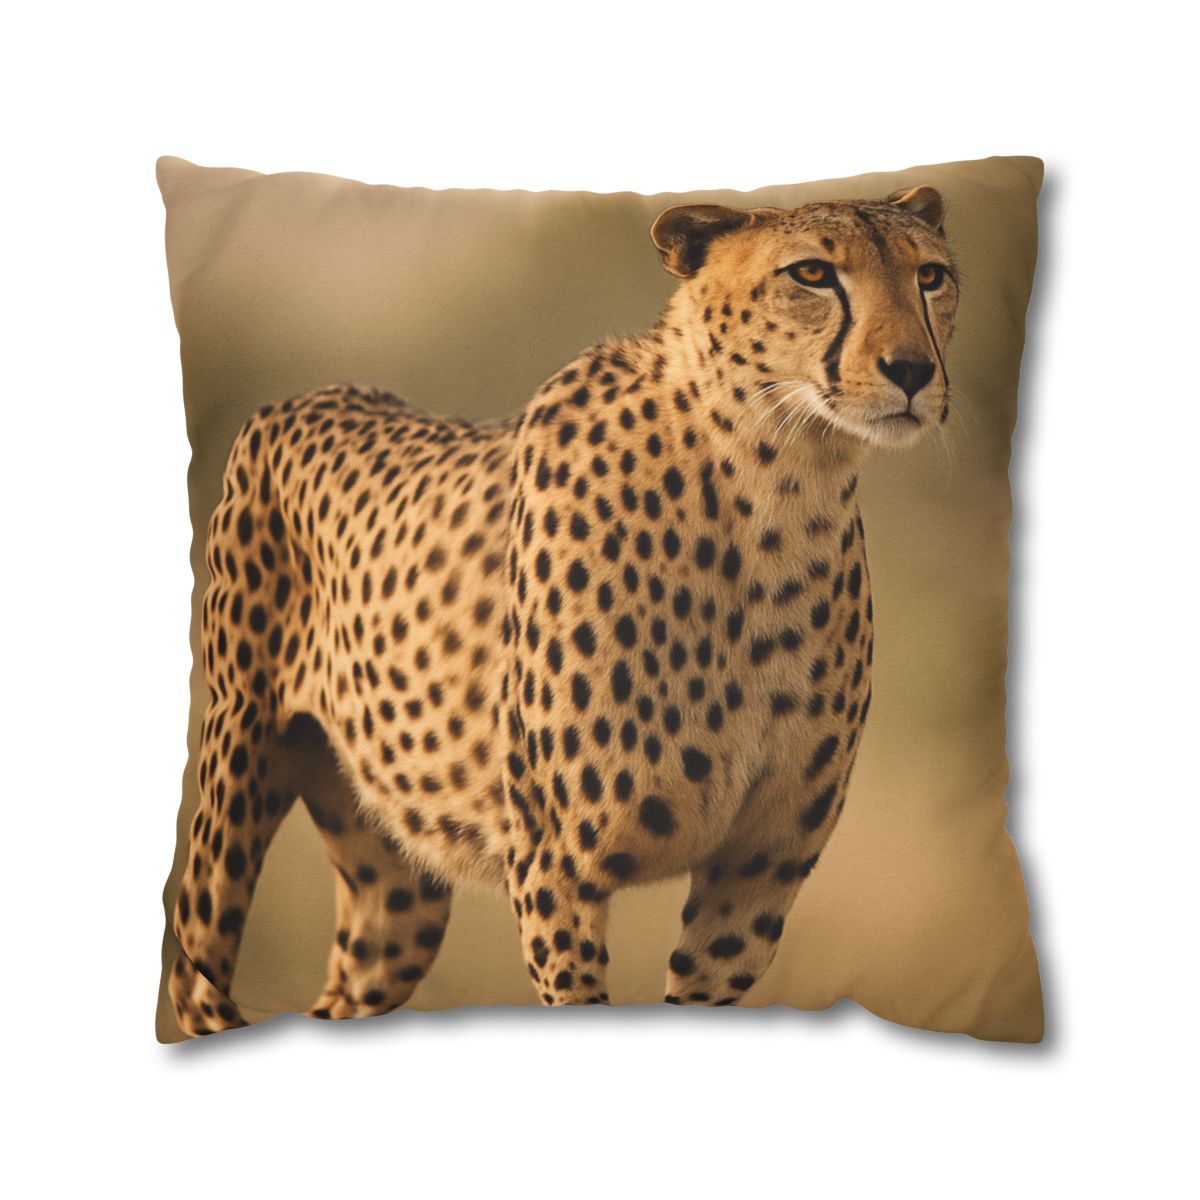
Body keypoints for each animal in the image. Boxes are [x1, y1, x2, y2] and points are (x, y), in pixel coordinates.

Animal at [168, 184, 958, 1035]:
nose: (912, 369)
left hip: (397, 890)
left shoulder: (757, 872)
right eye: (811, 273)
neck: (776, 487)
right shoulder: (558, 866)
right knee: (195, 974)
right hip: (237, 767)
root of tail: (311, 393)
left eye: (932, 276)